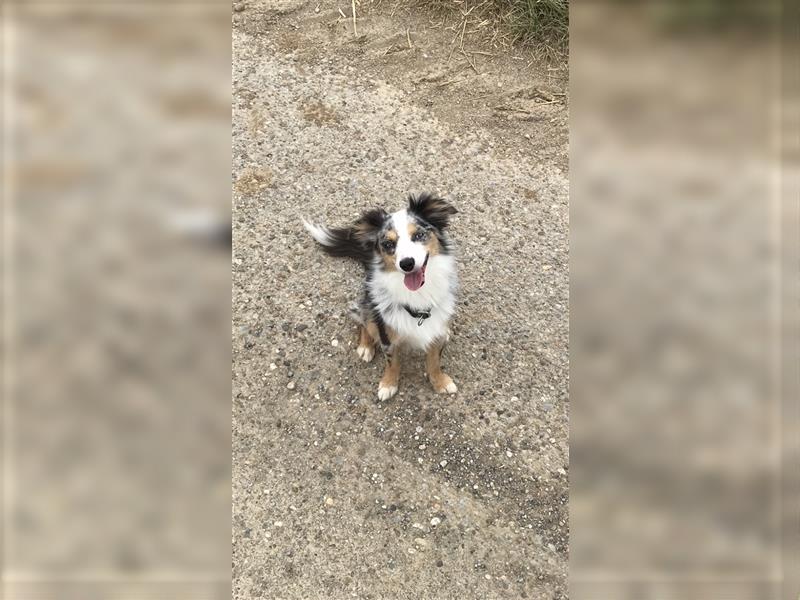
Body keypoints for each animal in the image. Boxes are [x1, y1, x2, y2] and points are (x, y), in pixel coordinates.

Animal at [304, 193, 460, 398]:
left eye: (418, 235)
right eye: (388, 244)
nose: (407, 263)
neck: (418, 296)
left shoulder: (436, 332)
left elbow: (434, 361)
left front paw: (441, 382)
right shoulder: (387, 334)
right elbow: (392, 362)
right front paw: (388, 384)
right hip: (368, 306)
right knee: (362, 322)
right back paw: (365, 347)